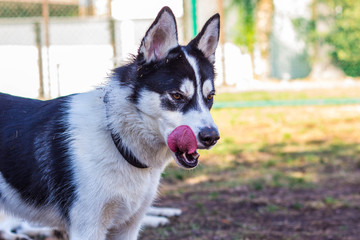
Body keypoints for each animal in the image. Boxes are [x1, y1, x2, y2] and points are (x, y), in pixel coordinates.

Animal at [0, 7, 219, 240]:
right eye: (177, 96)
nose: (212, 137)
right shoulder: (88, 228)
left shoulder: (128, 228)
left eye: (210, 97)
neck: (117, 138)